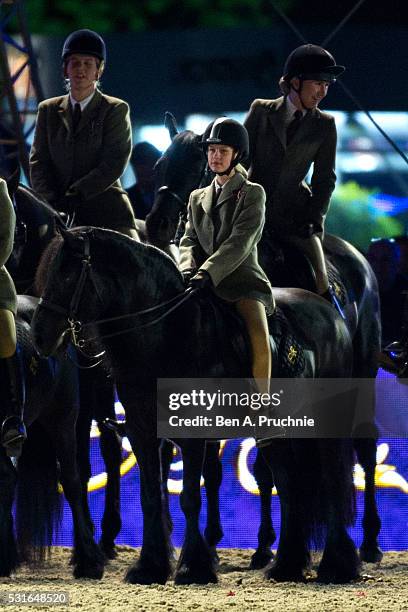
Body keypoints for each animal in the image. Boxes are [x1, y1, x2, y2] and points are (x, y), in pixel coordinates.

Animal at [30, 228, 358, 584]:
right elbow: (150, 496)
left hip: (327, 424)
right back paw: (287, 565)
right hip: (278, 433)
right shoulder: (142, 432)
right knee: (289, 485)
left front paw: (193, 567)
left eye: (66, 273)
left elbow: (189, 498)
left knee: (331, 482)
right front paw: (149, 567)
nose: (39, 337)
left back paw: (336, 566)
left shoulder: (193, 434)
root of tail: (330, 312)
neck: (166, 334)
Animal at [144, 122, 382, 568]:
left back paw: (370, 542)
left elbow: (267, 468)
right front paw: (220, 540)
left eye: (198, 165)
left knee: (364, 443)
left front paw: (266, 544)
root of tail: (357, 256)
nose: (157, 224)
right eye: (159, 165)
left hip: (362, 372)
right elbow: (216, 466)